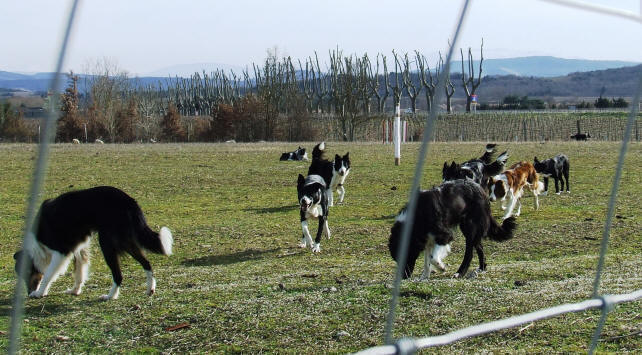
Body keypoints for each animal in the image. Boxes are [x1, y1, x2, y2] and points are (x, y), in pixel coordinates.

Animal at [15, 186, 174, 300]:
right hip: (126, 241)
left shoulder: (61, 252)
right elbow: (79, 271)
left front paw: (40, 293)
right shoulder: (78, 248)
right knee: (147, 263)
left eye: (27, 273)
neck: (37, 245)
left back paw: (110, 296)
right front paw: (75, 290)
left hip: (107, 243)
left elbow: (48, 274)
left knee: (118, 275)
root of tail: (129, 200)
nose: (28, 293)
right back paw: (150, 289)